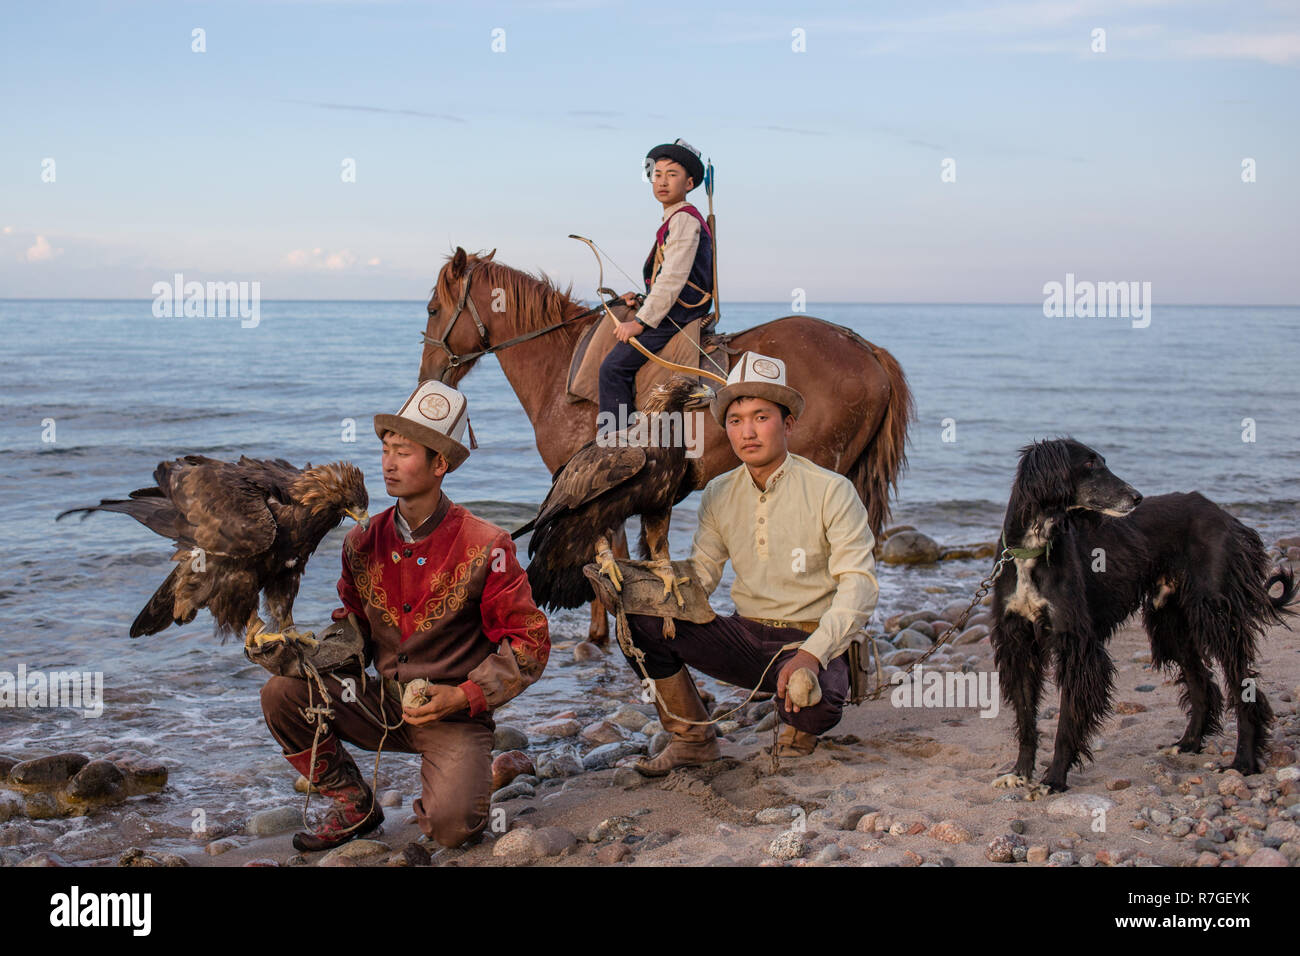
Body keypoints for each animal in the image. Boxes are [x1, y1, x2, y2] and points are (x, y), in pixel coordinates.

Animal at [418, 251, 915, 642]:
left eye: (432, 308)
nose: (429, 375)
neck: (560, 372)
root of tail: (867, 350)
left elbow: (605, 553)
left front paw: (603, 632)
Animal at [993, 439, 1289, 790]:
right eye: (1090, 464)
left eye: (1102, 461)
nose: (1137, 497)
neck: (1033, 550)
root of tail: (1223, 514)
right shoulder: (1017, 641)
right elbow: (1025, 714)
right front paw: (1019, 772)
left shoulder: (1076, 644)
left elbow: (1067, 721)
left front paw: (1054, 779)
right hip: (1171, 620)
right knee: (1201, 682)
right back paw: (1188, 743)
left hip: (1216, 613)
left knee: (1241, 684)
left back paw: (1243, 761)